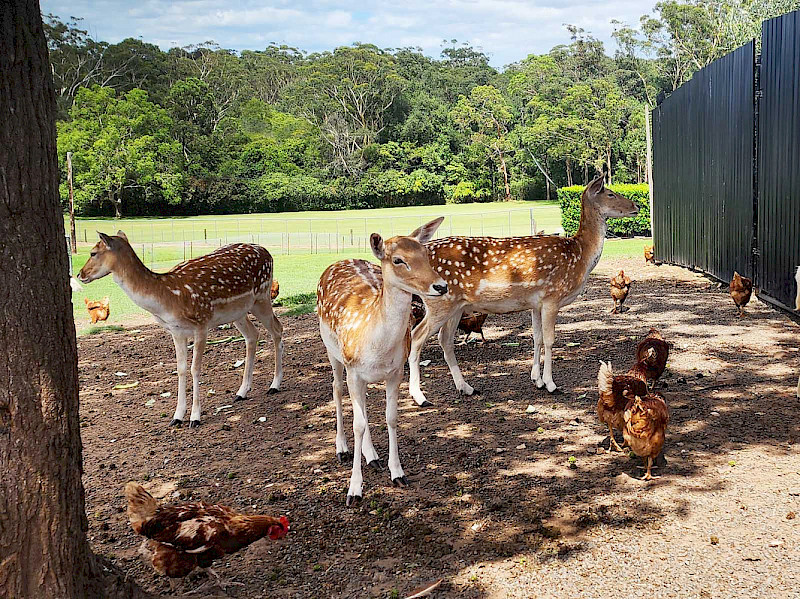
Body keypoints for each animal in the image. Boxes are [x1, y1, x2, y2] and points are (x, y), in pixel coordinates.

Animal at [78, 232, 284, 428]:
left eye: (93, 253)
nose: (80, 274)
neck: (167, 298)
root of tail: (267, 252)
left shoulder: (201, 324)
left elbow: (195, 369)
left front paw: (195, 417)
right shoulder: (176, 331)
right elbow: (181, 369)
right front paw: (177, 417)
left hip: (262, 296)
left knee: (277, 328)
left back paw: (274, 385)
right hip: (238, 312)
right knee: (253, 335)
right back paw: (242, 392)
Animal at [316, 218, 446, 504]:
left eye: (426, 253)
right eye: (398, 260)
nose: (441, 286)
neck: (378, 346)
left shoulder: (396, 371)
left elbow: (390, 417)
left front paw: (397, 473)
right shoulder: (353, 370)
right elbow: (358, 424)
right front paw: (354, 490)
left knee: (363, 408)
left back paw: (372, 456)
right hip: (332, 350)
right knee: (336, 389)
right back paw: (341, 448)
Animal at [406, 176, 636, 406]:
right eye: (611, 194)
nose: (636, 207)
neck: (580, 256)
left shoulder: (536, 304)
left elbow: (537, 337)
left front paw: (537, 380)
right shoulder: (552, 296)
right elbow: (550, 340)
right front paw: (551, 384)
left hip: (456, 306)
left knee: (444, 340)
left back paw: (466, 388)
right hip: (439, 301)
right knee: (416, 336)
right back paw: (420, 397)